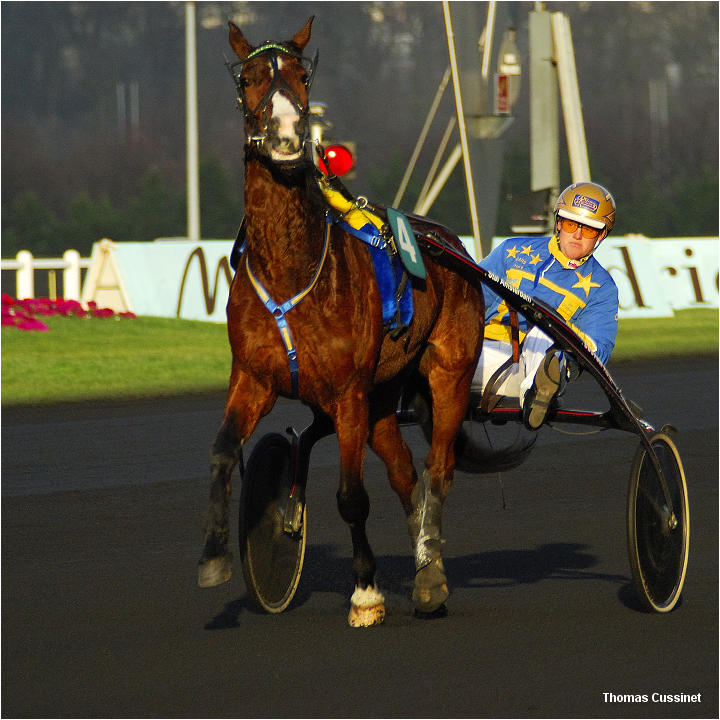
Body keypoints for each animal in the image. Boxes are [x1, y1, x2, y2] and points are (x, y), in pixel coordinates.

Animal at [197, 16, 484, 624]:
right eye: (248, 79)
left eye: (302, 75)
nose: (285, 136)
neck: (291, 270)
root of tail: (447, 241)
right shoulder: (252, 378)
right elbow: (223, 451)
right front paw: (216, 558)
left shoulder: (348, 390)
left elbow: (352, 497)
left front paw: (366, 592)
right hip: (381, 398)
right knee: (406, 476)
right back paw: (423, 562)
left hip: (446, 371)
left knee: (438, 471)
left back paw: (430, 578)